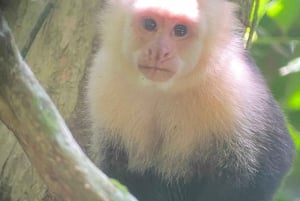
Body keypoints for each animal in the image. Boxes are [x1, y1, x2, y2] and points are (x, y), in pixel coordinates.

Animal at [85, 0, 294, 201]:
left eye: (180, 30)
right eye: (150, 24)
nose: (159, 52)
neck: (164, 88)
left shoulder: (235, 84)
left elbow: (273, 160)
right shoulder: (104, 78)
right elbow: (115, 168)